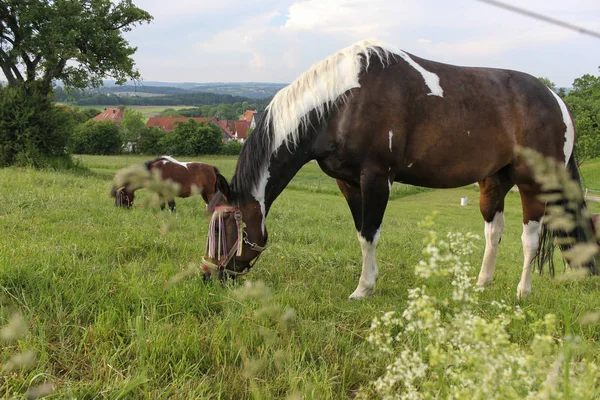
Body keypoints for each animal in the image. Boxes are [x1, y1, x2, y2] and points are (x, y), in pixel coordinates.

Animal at [200, 40, 596, 298]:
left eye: (223, 226)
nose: (207, 275)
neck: (342, 103)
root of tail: (557, 101)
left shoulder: (377, 178)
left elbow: (370, 234)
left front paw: (363, 289)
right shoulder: (348, 183)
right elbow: (362, 234)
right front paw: (368, 283)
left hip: (533, 183)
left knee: (530, 238)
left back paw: (522, 292)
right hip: (493, 181)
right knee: (494, 232)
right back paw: (481, 285)